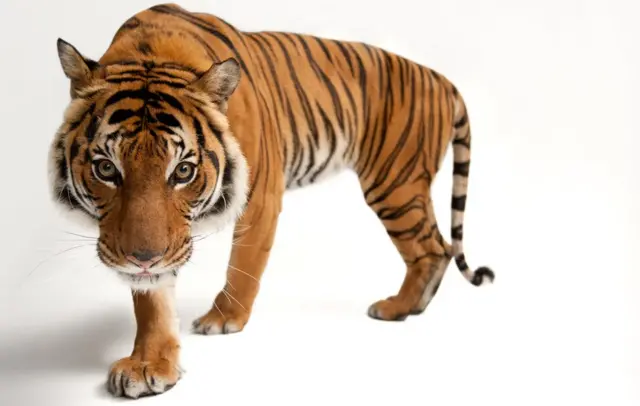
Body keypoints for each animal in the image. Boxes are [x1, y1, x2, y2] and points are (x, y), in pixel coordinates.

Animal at [48, 2, 495, 399]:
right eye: (106, 169)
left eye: (183, 171)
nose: (143, 258)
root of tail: (441, 78)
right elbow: (152, 299)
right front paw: (149, 365)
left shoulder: (260, 195)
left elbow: (243, 264)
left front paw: (222, 319)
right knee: (438, 246)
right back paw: (412, 307)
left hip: (395, 184)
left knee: (432, 247)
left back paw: (395, 308)